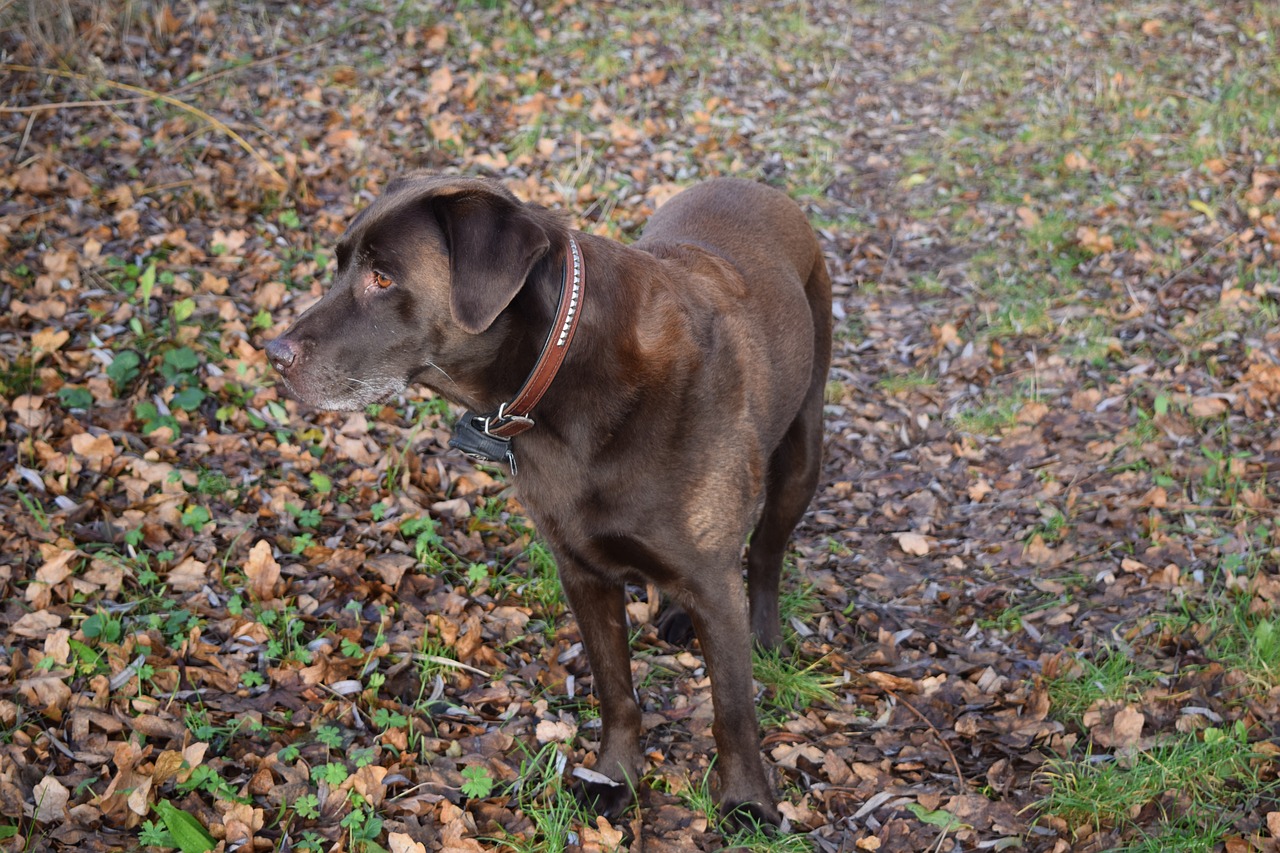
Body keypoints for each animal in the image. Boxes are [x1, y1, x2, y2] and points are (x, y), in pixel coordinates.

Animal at [264, 172, 834, 824]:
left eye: (382, 278)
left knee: (765, 550)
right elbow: (615, 689)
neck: (564, 375)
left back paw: (765, 634)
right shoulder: (580, 569)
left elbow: (733, 709)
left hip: (803, 447)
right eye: (339, 267)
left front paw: (746, 801)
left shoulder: (713, 585)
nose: (274, 353)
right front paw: (614, 776)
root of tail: (756, 186)